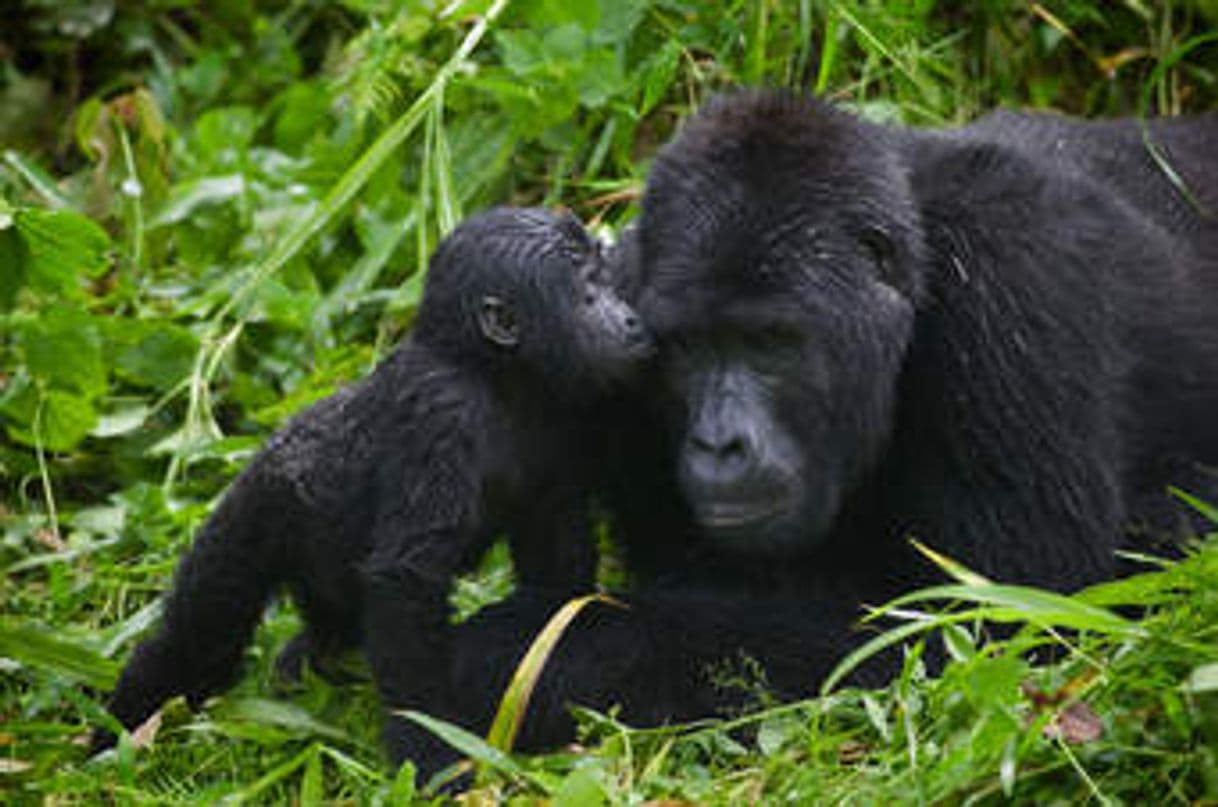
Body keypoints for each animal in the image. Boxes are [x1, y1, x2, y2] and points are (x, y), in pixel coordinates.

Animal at [92, 208, 657, 779]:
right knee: (200, 632)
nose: (632, 319)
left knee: (322, 625)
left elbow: (554, 562)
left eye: (608, 281)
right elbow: (406, 581)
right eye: (588, 291)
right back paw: (118, 732)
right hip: (254, 511)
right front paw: (432, 750)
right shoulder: (440, 412)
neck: (494, 374)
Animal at [443, 93, 1218, 759]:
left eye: (770, 343)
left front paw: (529, 651)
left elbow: (991, 623)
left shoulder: (1014, 272)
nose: (719, 443)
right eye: (688, 347)